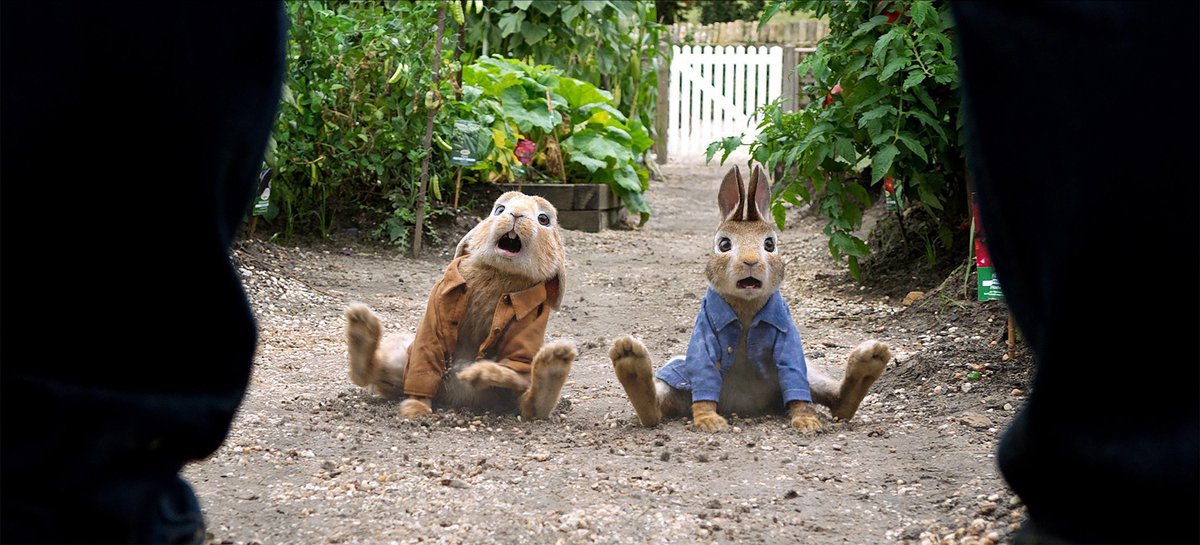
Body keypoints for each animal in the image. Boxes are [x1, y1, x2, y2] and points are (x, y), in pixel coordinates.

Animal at [345, 191, 575, 420]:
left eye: (544, 219)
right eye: (499, 209)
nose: (516, 214)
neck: (502, 273)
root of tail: (453, 397)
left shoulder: (531, 320)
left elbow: (515, 359)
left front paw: (479, 373)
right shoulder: (434, 318)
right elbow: (426, 360)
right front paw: (416, 409)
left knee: (530, 404)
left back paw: (552, 362)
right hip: (403, 359)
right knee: (373, 373)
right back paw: (361, 324)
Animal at [608, 165, 890, 432]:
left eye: (769, 245)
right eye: (724, 245)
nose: (751, 262)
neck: (745, 306)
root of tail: (745, 406)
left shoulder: (788, 338)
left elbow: (794, 375)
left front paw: (807, 422)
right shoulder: (705, 333)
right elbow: (704, 371)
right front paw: (709, 421)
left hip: (809, 374)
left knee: (835, 401)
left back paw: (871, 360)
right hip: (678, 377)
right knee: (657, 407)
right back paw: (629, 359)